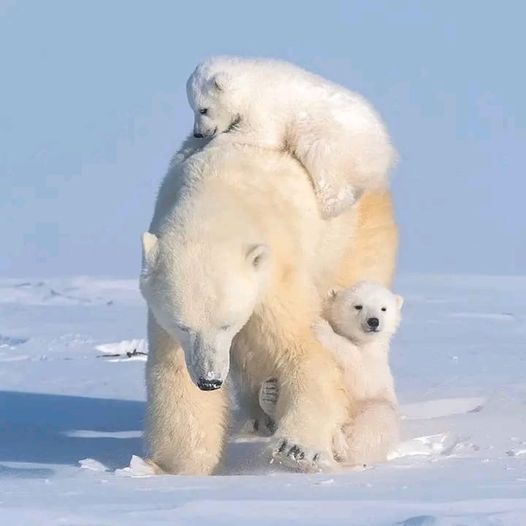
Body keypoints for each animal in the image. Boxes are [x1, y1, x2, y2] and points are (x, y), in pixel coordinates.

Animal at [140, 137, 400, 478]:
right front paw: (177, 466)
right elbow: (175, 371)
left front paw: (297, 450)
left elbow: (301, 351)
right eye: (183, 326)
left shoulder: (275, 274)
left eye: (227, 323)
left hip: (351, 240)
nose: (210, 380)